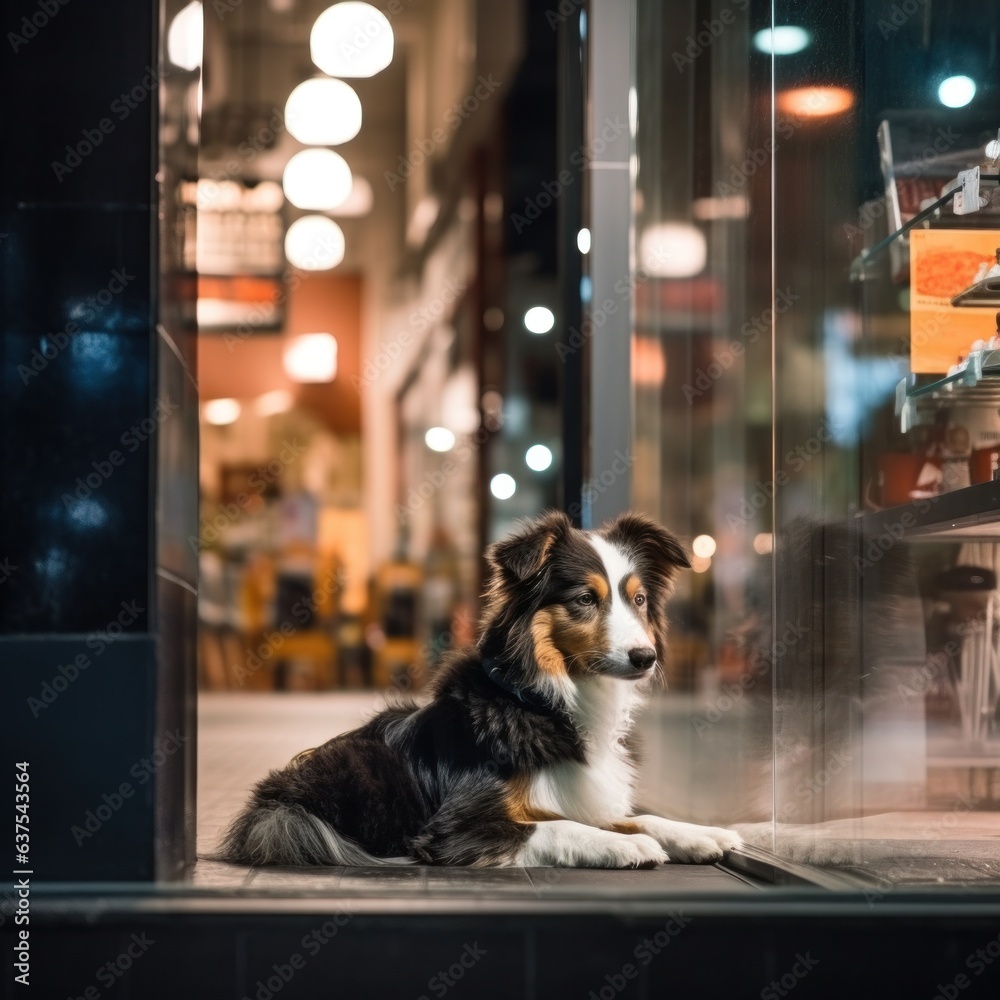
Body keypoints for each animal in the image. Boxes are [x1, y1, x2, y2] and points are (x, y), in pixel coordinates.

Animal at [219, 512, 748, 864]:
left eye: (638, 600)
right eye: (584, 599)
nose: (646, 658)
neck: (541, 700)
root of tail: (273, 797)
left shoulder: (577, 792)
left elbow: (632, 814)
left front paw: (700, 834)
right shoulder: (458, 826)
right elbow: (558, 828)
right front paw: (627, 844)